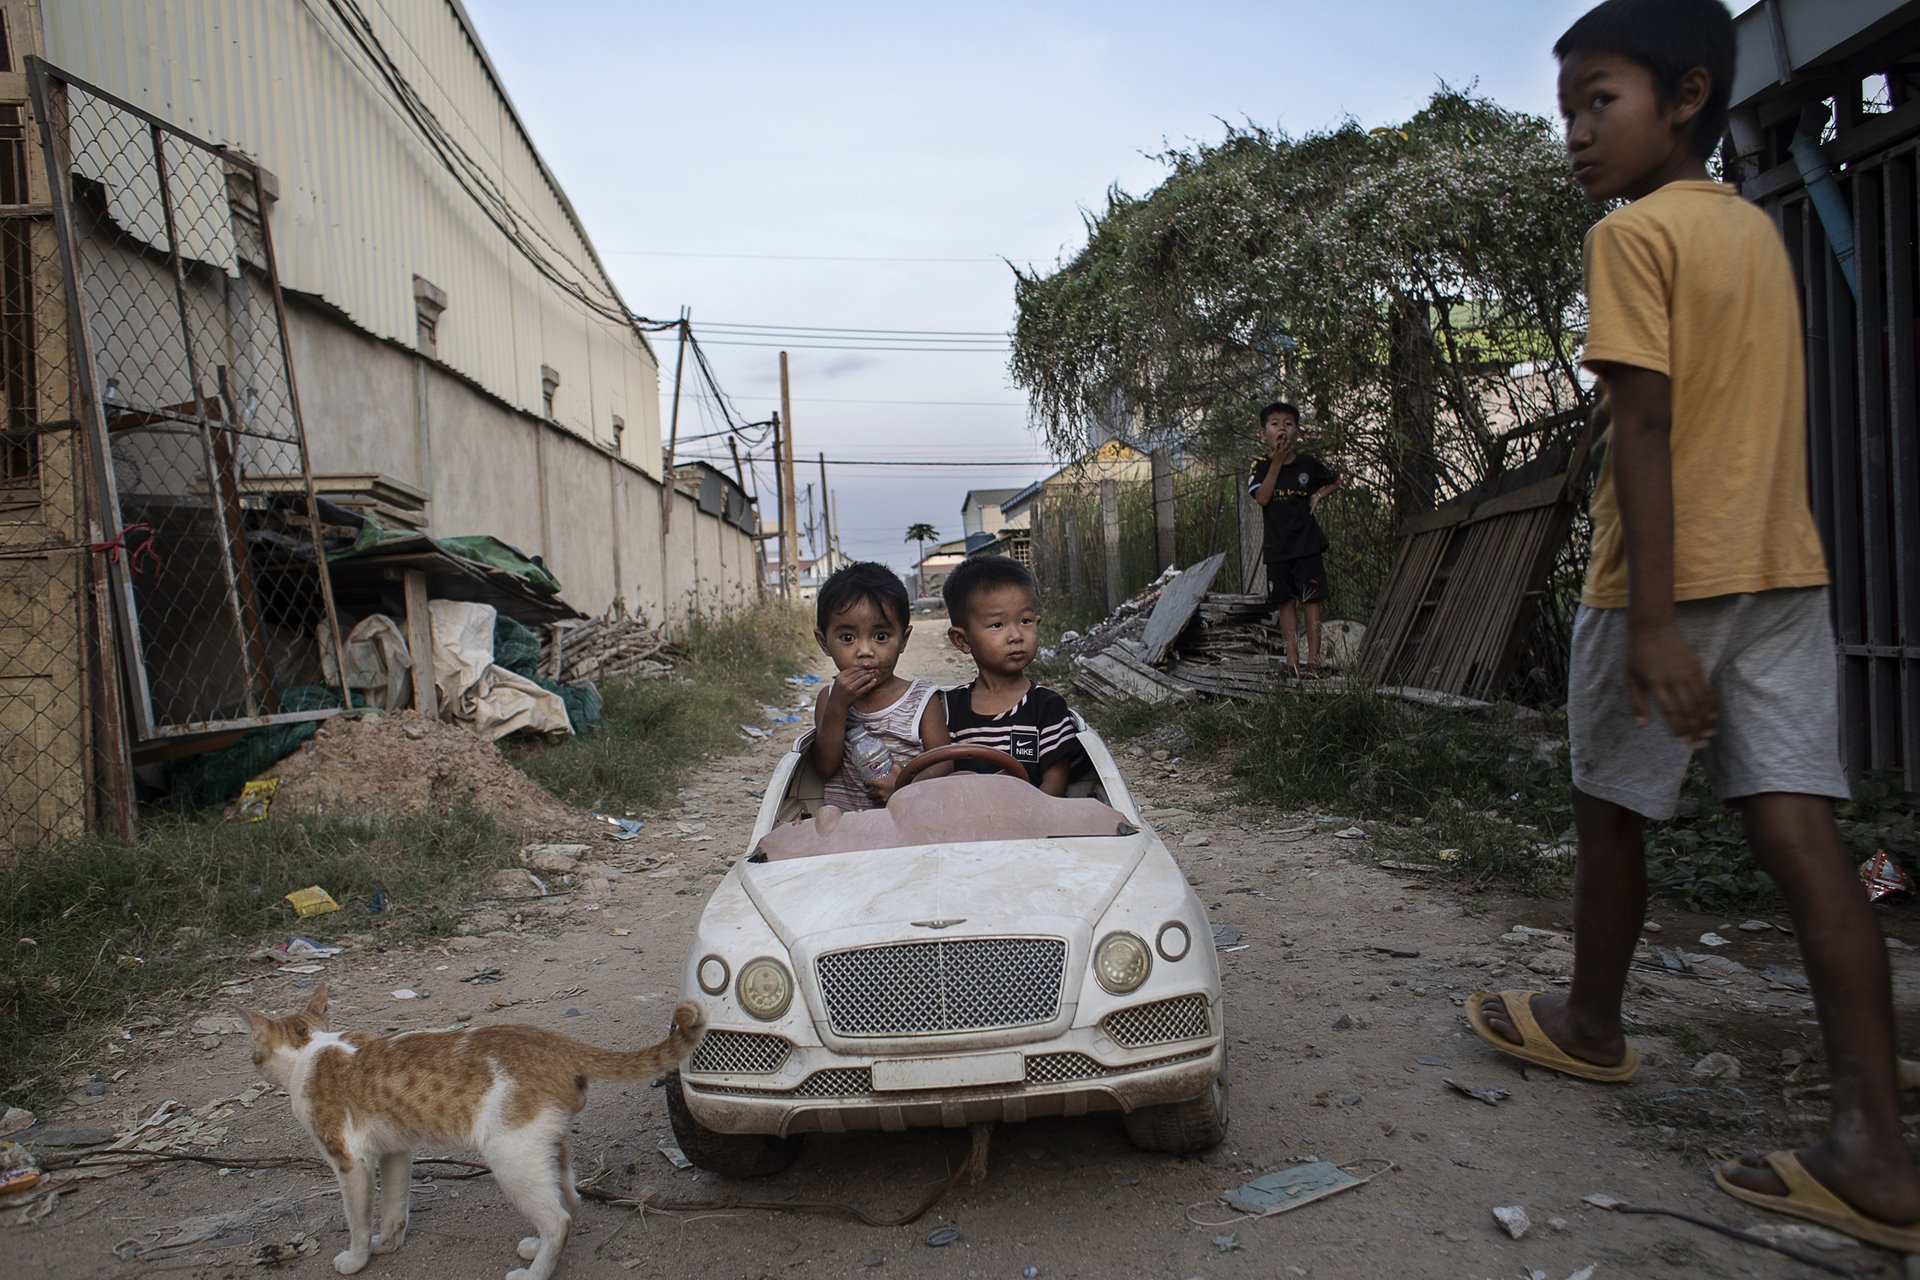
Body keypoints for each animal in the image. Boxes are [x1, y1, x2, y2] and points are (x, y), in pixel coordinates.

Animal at [240, 990, 706, 1280]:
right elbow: (393, 1209)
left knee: (558, 1219)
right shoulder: (396, 1152)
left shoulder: (350, 1161)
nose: (253, 1062)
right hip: (545, 1148)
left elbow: (356, 1219)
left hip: (509, 1155)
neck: (311, 1049)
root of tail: (555, 1040)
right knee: (570, 1202)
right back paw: (536, 1247)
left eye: (255, 1052)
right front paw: (387, 1245)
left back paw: (534, 1273)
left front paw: (357, 1259)